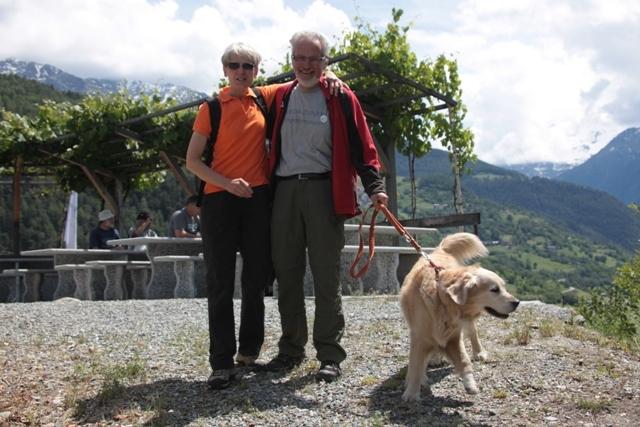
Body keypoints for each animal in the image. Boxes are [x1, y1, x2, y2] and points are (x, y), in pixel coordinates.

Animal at [399, 232, 519, 401]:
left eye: (504, 287)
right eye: (494, 289)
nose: (517, 302)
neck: (442, 300)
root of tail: (440, 249)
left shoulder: (453, 336)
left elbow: (463, 360)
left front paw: (470, 384)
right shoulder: (419, 337)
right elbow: (416, 364)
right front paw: (412, 392)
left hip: (467, 323)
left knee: (473, 333)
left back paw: (478, 352)